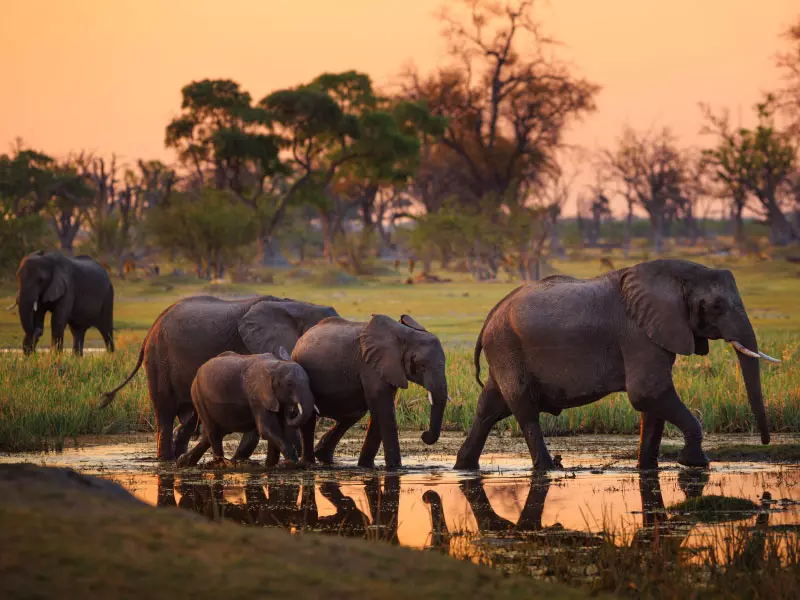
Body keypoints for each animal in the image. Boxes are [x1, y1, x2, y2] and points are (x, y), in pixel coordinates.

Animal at [177, 346, 314, 468]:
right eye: (290, 384)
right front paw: (292, 463)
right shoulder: (257, 396)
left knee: (211, 435)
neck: (275, 365)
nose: (292, 411)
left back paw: (183, 462)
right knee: (213, 432)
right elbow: (267, 428)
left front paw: (271, 465)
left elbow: (280, 427)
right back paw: (220, 463)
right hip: (198, 396)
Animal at [290, 314, 450, 468]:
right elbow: (384, 409)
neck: (403, 335)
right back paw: (309, 463)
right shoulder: (370, 365)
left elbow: (380, 409)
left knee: (353, 414)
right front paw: (396, 468)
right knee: (309, 417)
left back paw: (324, 457)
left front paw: (367, 466)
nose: (424, 435)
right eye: (421, 364)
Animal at [456, 260, 780, 472]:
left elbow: (652, 403)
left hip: (503, 351)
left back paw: (464, 466)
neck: (680, 274)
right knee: (525, 410)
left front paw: (647, 468)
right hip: (507, 347)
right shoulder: (638, 334)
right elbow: (647, 392)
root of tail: (492, 314)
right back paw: (549, 469)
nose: (765, 442)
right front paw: (695, 463)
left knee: (489, 408)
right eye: (716, 306)